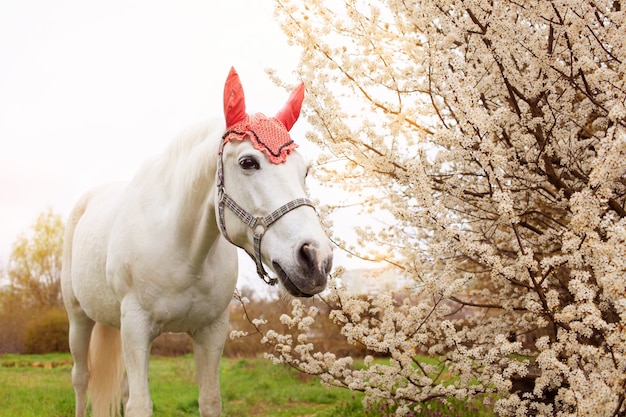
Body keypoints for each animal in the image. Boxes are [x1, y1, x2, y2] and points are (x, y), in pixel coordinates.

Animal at [61, 68, 332, 416]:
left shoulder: (211, 332)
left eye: (305, 170)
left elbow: (209, 400)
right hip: (78, 318)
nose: (316, 259)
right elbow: (140, 405)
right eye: (248, 162)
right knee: (81, 378)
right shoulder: (136, 326)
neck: (184, 250)